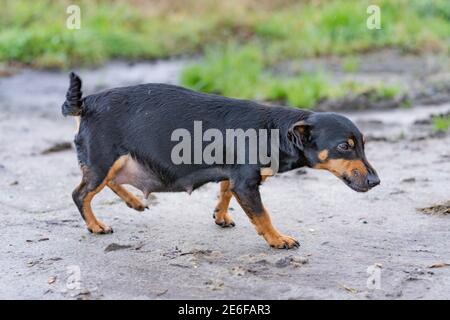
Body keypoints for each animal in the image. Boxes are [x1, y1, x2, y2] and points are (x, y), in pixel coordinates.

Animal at [62, 72, 380, 250]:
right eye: (344, 146)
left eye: (363, 145)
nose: (376, 181)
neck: (274, 131)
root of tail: (86, 104)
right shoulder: (247, 184)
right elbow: (263, 215)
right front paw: (278, 239)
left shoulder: (234, 176)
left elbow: (225, 192)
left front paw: (221, 216)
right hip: (104, 159)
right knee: (81, 193)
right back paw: (95, 225)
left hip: (111, 162)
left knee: (105, 183)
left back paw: (134, 202)